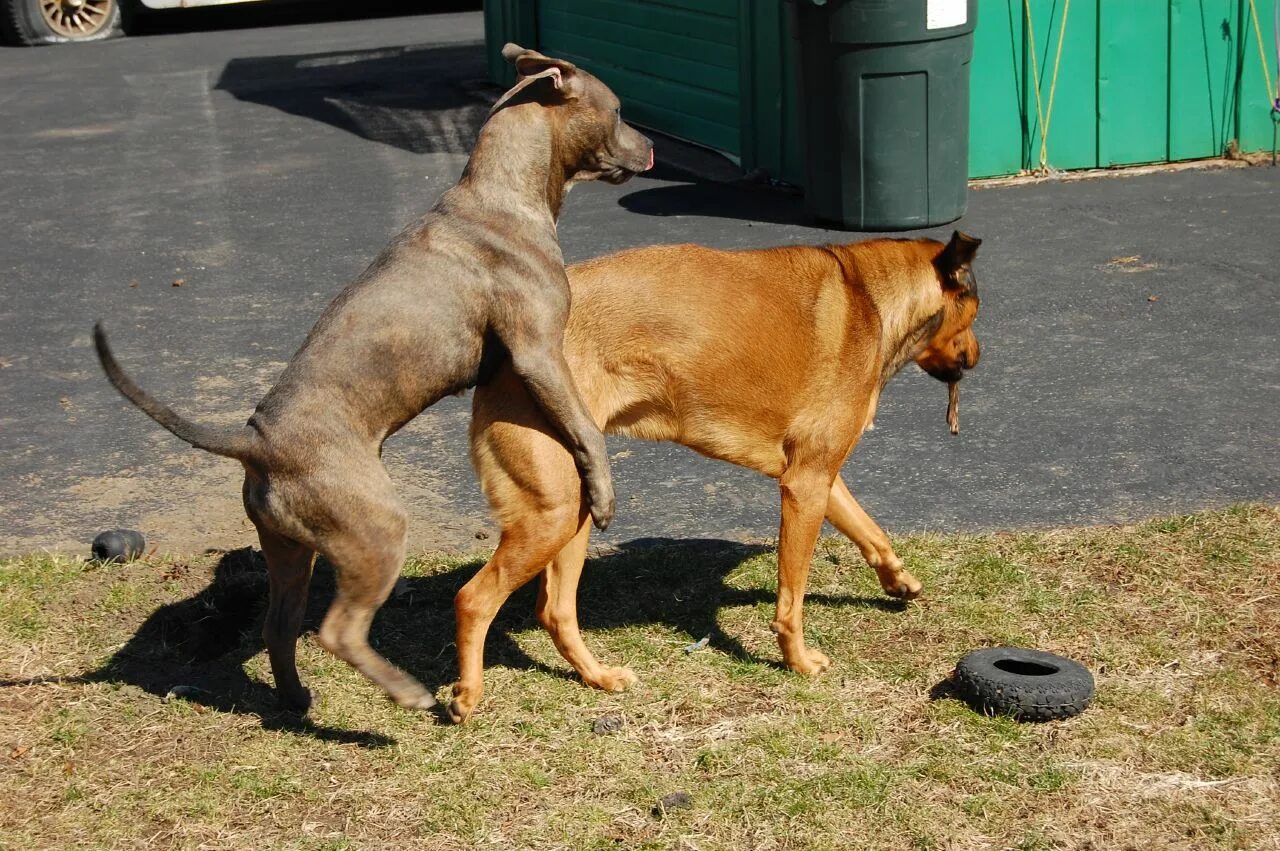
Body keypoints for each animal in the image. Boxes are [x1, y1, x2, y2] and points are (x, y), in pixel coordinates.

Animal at [94, 44, 655, 711]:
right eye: (618, 110)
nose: (653, 147)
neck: (502, 195)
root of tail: (255, 440)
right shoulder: (538, 352)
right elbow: (585, 431)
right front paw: (604, 495)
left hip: (291, 551)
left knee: (279, 625)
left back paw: (296, 703)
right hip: (377, 529)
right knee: (336, 629)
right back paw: (408, 693)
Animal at [450, 230, 977, 716]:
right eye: (975, 311)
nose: (975, 358)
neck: (868, 298)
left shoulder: (818, 477)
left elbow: (872, 533)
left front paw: (899, 581)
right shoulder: (805, 486)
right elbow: (792, 599)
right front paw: (798, 661)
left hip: (579, 505)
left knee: (555, 611)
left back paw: (598, 677)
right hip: (554, 515)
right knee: (474, 599)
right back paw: (466, 695)